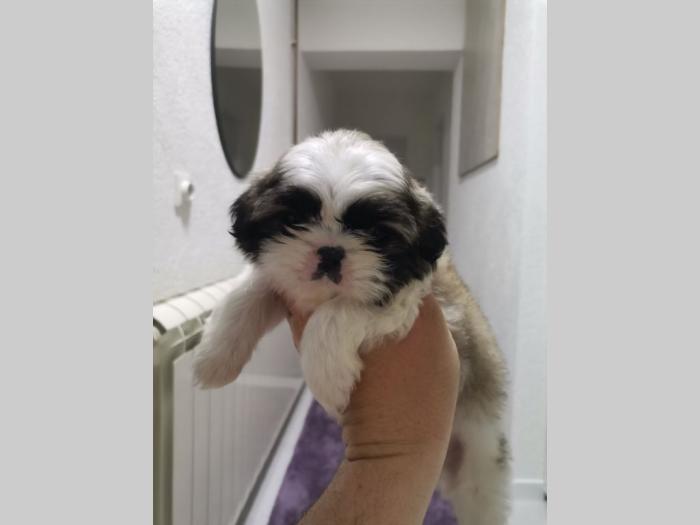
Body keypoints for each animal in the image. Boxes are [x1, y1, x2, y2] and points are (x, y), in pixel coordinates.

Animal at [194, 129, 510, 524]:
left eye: (375, 232)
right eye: (294, 218)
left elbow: (337, 313)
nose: (331, 251)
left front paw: (328, 382)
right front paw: (215, 356)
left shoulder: (410, 301)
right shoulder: (281, 277)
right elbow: (250, 289)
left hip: (480, 471)